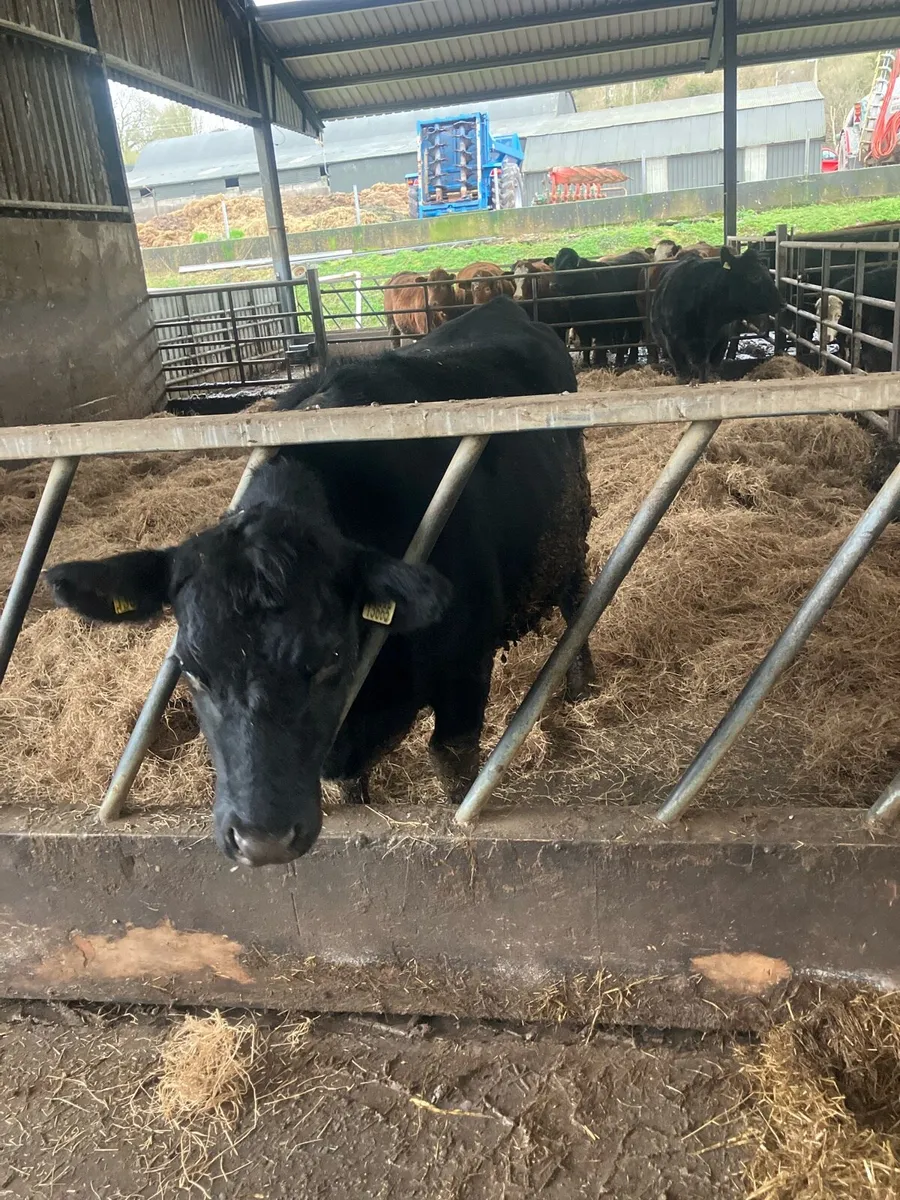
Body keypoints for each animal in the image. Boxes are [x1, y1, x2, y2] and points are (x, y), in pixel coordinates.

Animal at [47, 297, 595, 869]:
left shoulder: (463, 668)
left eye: (331, 659)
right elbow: (352, 791)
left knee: (577, 596)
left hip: (572, 527)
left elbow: (453, 767)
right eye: (192, 669)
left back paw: (582, 686)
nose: (260, 839)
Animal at [650, 246, 782, 383]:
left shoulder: (720, 344)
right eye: (754, 276)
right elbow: (684, 375)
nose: (782, 303)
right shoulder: (673, 345)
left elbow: (706, 373)